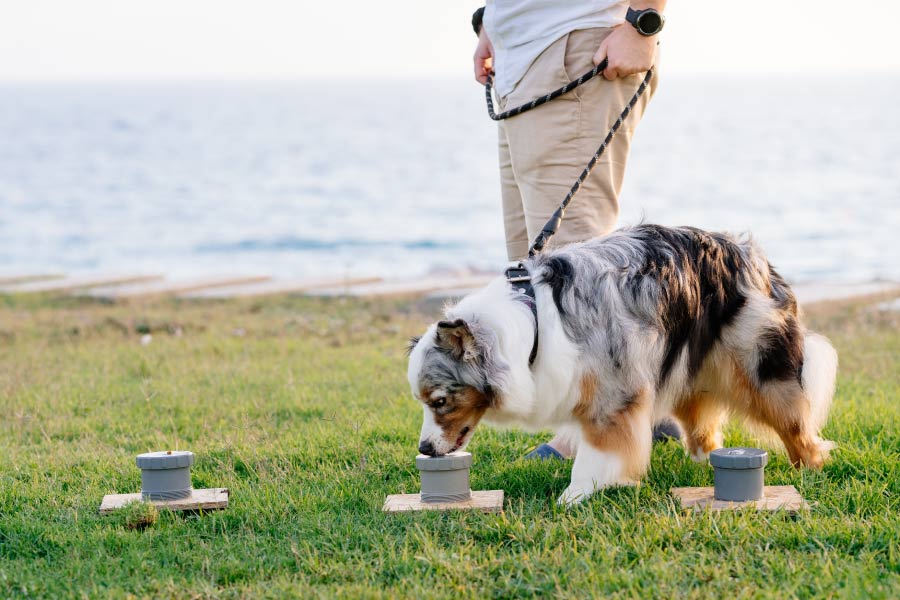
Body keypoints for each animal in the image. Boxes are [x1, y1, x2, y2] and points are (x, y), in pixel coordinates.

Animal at [408, 225, 836, 506]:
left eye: (440, 401)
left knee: (796, 425)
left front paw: (576, 494)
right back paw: (702, 463)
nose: (425, 449)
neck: (531, 322)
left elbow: (598, 454)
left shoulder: (613, 396)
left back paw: (811, 470)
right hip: (686, 366)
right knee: (702, 426)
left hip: (761, 369)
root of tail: (755, 257)